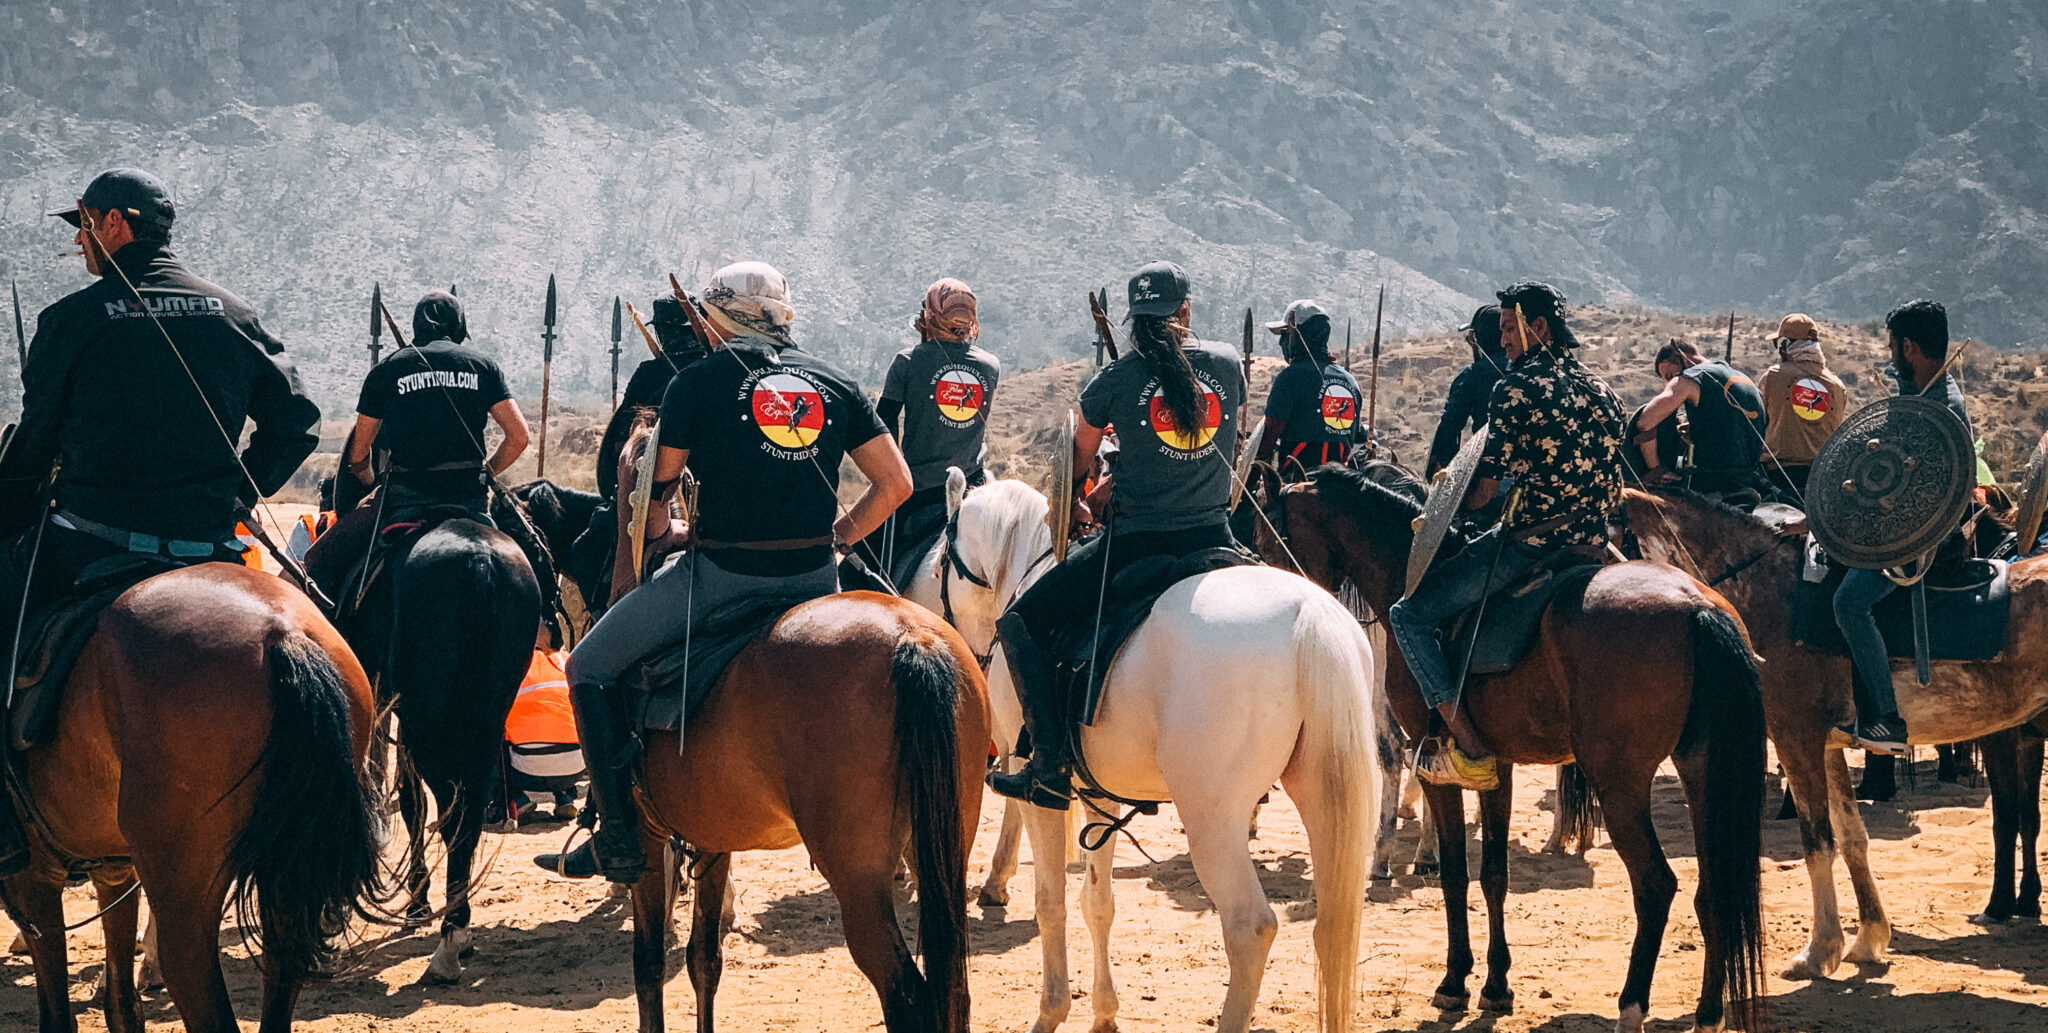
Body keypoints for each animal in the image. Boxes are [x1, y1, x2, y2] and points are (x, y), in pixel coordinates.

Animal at [3, 565, 385, 1033]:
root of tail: (282, 631)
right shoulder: (113, 871)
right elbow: (122, 1005)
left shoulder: (34, 878)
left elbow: (58, 1014)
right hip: (285, 870)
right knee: (282, 967)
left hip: (184, 888)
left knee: (193, 983)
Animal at [606, 422, 991, 1033]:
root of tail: (914, 638)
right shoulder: (713, 840)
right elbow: (704, 960)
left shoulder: (647, 838)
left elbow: (648, 968)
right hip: (944, 847)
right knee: (952, 989)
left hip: (858, 874)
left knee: (908, 996)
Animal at [909, 477, 1376, 1033]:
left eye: (939, 561)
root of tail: (1312, 619)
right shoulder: (1098, 794)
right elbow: (1097, 903)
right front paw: (1104, 1014)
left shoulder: (1037, 786)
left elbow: (1051, 901)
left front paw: (1051, 1012)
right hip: (1323, 798)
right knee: (1333, 925)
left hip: (1213, 819)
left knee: (1250, 928)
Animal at [1253, 465, 1769, 1033]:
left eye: (1265, 538)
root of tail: (1698, 608)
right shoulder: (1495, 765)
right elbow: (1494, 875)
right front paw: (1496, 985)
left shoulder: (1434, 769)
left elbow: (1455, 874)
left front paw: (1454, 981)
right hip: (1702, 771)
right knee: (1714, 885)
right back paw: (1709, 1010)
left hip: (1619, 783)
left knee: (1656, 886)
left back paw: (1631, 1006)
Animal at [1630, 481, 2048, 942]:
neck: (1773, 594)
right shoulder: (1827, 745)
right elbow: (1851, 838)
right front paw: (1868, 939)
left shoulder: (1797, 741)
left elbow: (1817, 843)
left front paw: (1822, 947)